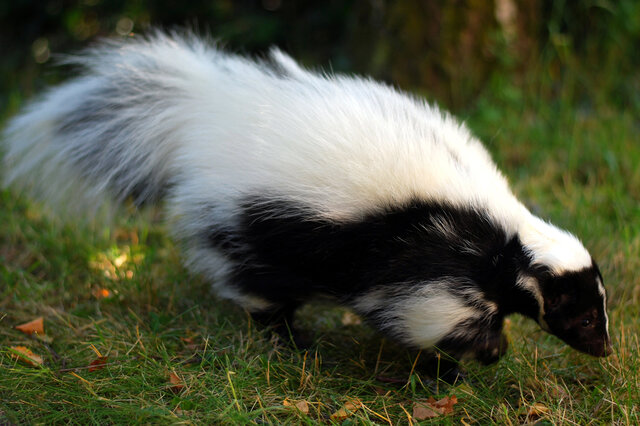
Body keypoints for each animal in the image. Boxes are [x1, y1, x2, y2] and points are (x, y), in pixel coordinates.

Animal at [3, 32, 608, 372]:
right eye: (579, 314)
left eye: (599, 309)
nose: (604, 349)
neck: (510, 234)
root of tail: (209, 110)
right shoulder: (432, 247)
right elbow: (425, 311)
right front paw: (482, 351)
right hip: (253, 220)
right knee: (256, 279)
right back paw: (287, 337)